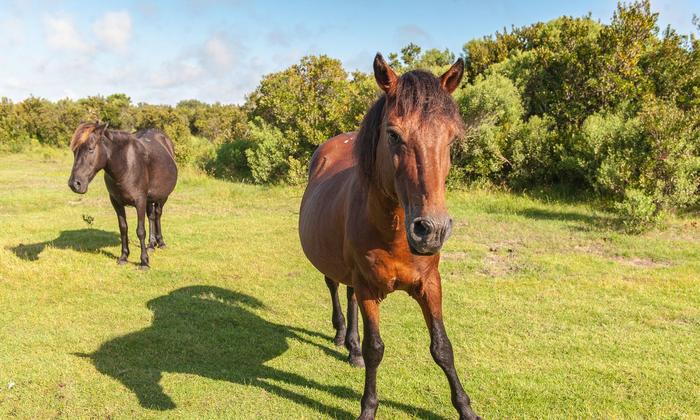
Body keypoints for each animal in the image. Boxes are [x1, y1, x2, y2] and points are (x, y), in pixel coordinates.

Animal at [68, 123, 178, 270]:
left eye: (90, 149)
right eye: (74, 151)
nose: (74, 184)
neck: (125, 165)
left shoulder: (140, 200)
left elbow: (140, 230)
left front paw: (144, 262)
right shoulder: (116, 202)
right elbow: (123, 228)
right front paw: (124, 257)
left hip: (162, 197)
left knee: (158, 215)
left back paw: (160, 242)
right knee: (151, 216)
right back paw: (151, 245)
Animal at [298, 53, 478, 420]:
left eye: (452, 138)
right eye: (393, 135)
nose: (432, 230)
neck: (394, 236)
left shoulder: (430, 284)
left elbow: (442, 347)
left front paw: (466, 408)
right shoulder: (369, 288)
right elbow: (375, 349)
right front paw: (368, 408)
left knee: (348, 295)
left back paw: (350, 349)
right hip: (332, 266)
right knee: (336, 289)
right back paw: (341, 335)